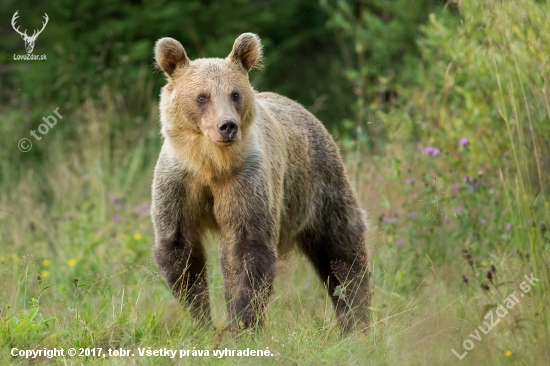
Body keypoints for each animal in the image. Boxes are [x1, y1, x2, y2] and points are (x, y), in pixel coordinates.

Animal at [152, 33, 370, 334]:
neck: (211, 165)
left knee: (341, 249)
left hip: (318, 184)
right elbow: (179, 249)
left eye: (235, 93)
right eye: (202, 96)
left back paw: (356, 318)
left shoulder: (246, 181)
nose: (227, 126)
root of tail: (302, 109)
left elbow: (249, 249)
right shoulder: (180, 183)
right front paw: (203, 320)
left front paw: (241, 324)